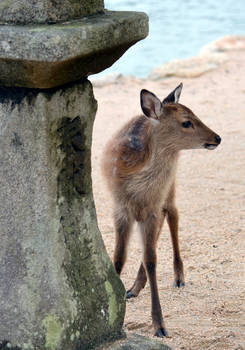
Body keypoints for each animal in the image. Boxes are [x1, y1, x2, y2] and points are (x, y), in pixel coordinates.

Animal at [101, 83, 222, 338]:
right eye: (186, 122)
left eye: (196, 113)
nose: (217, 137)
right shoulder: (120, 208)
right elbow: (119, 257)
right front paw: (114, 301)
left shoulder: (152, 208)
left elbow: (151, 259)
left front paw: (160, 326)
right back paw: (133, 288)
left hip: (170, 186)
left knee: (173, 214)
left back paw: (178, 277)